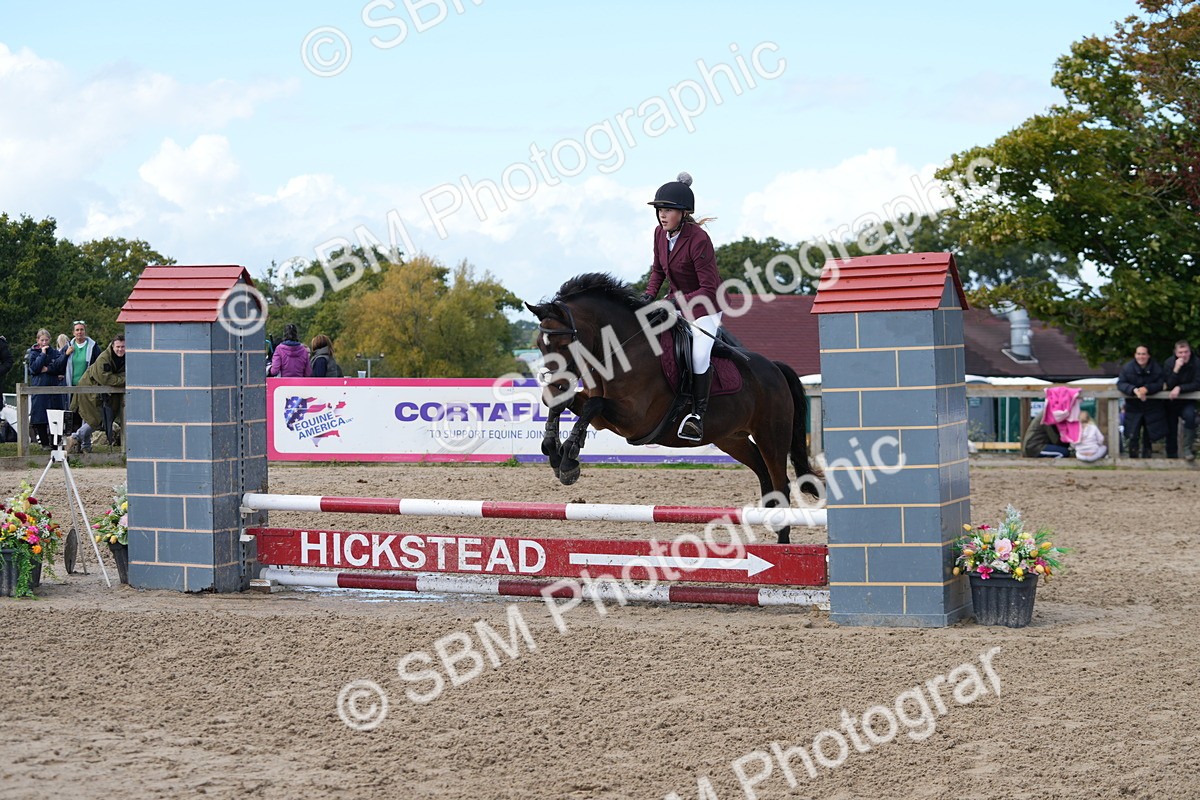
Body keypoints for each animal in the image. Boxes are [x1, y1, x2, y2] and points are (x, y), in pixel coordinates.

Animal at [524, 273, 818, 544]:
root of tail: (774, 368)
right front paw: (554, 451)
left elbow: (593, 406)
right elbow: (570, 406)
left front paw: (569, 456)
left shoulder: (634, 419)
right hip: (732, 439)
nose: (553, 387)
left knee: (781, 484)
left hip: (771, 436)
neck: (622, 349)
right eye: (539, 345)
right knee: (764, 477)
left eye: (565, 344)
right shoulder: (604, 417)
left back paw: (783, 546)